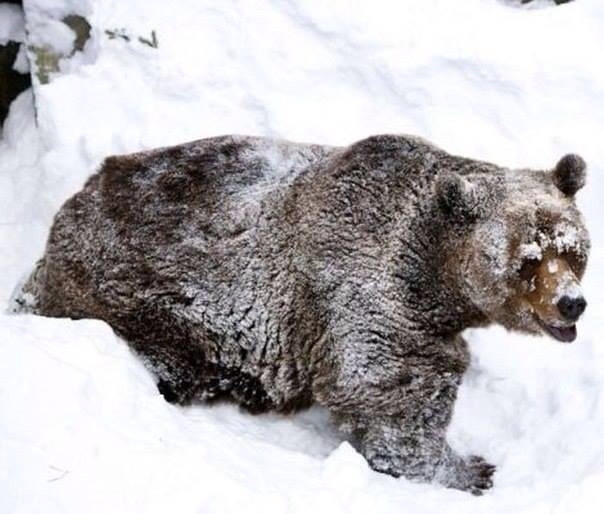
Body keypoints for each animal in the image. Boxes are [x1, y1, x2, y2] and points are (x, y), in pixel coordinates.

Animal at [13, 133, 588, 492]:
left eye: (574, 249)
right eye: (528, 259)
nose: (572, 303)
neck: (435, 279)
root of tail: (70, 207)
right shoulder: (367, 295)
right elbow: (392, 394)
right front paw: (468, 469)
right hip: (139, 296)